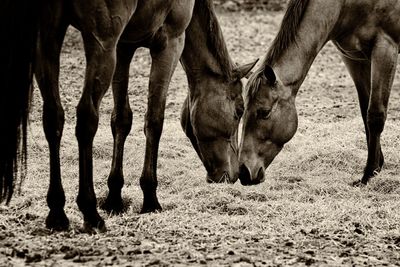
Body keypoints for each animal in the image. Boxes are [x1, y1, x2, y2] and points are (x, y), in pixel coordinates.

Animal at [0, 0, 253, 234]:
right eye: (239, 110)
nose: (234, 174)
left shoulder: (123, 47)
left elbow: (121, 119)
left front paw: (114, 197)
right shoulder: (170, 42)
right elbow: (154, 121)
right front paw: (150, 198)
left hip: (49, 38)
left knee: (54, 118)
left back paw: (57, 212)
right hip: (102, 42)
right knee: (86, 118)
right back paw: (90, 212)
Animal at [239, 0, 400, 187]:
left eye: (264, 112)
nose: (243, 172)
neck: (344, 6)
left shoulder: (385, 49)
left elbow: (375, 116)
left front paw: (368, 174)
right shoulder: (354, 58)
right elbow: (364, 112)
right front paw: (376, 167)